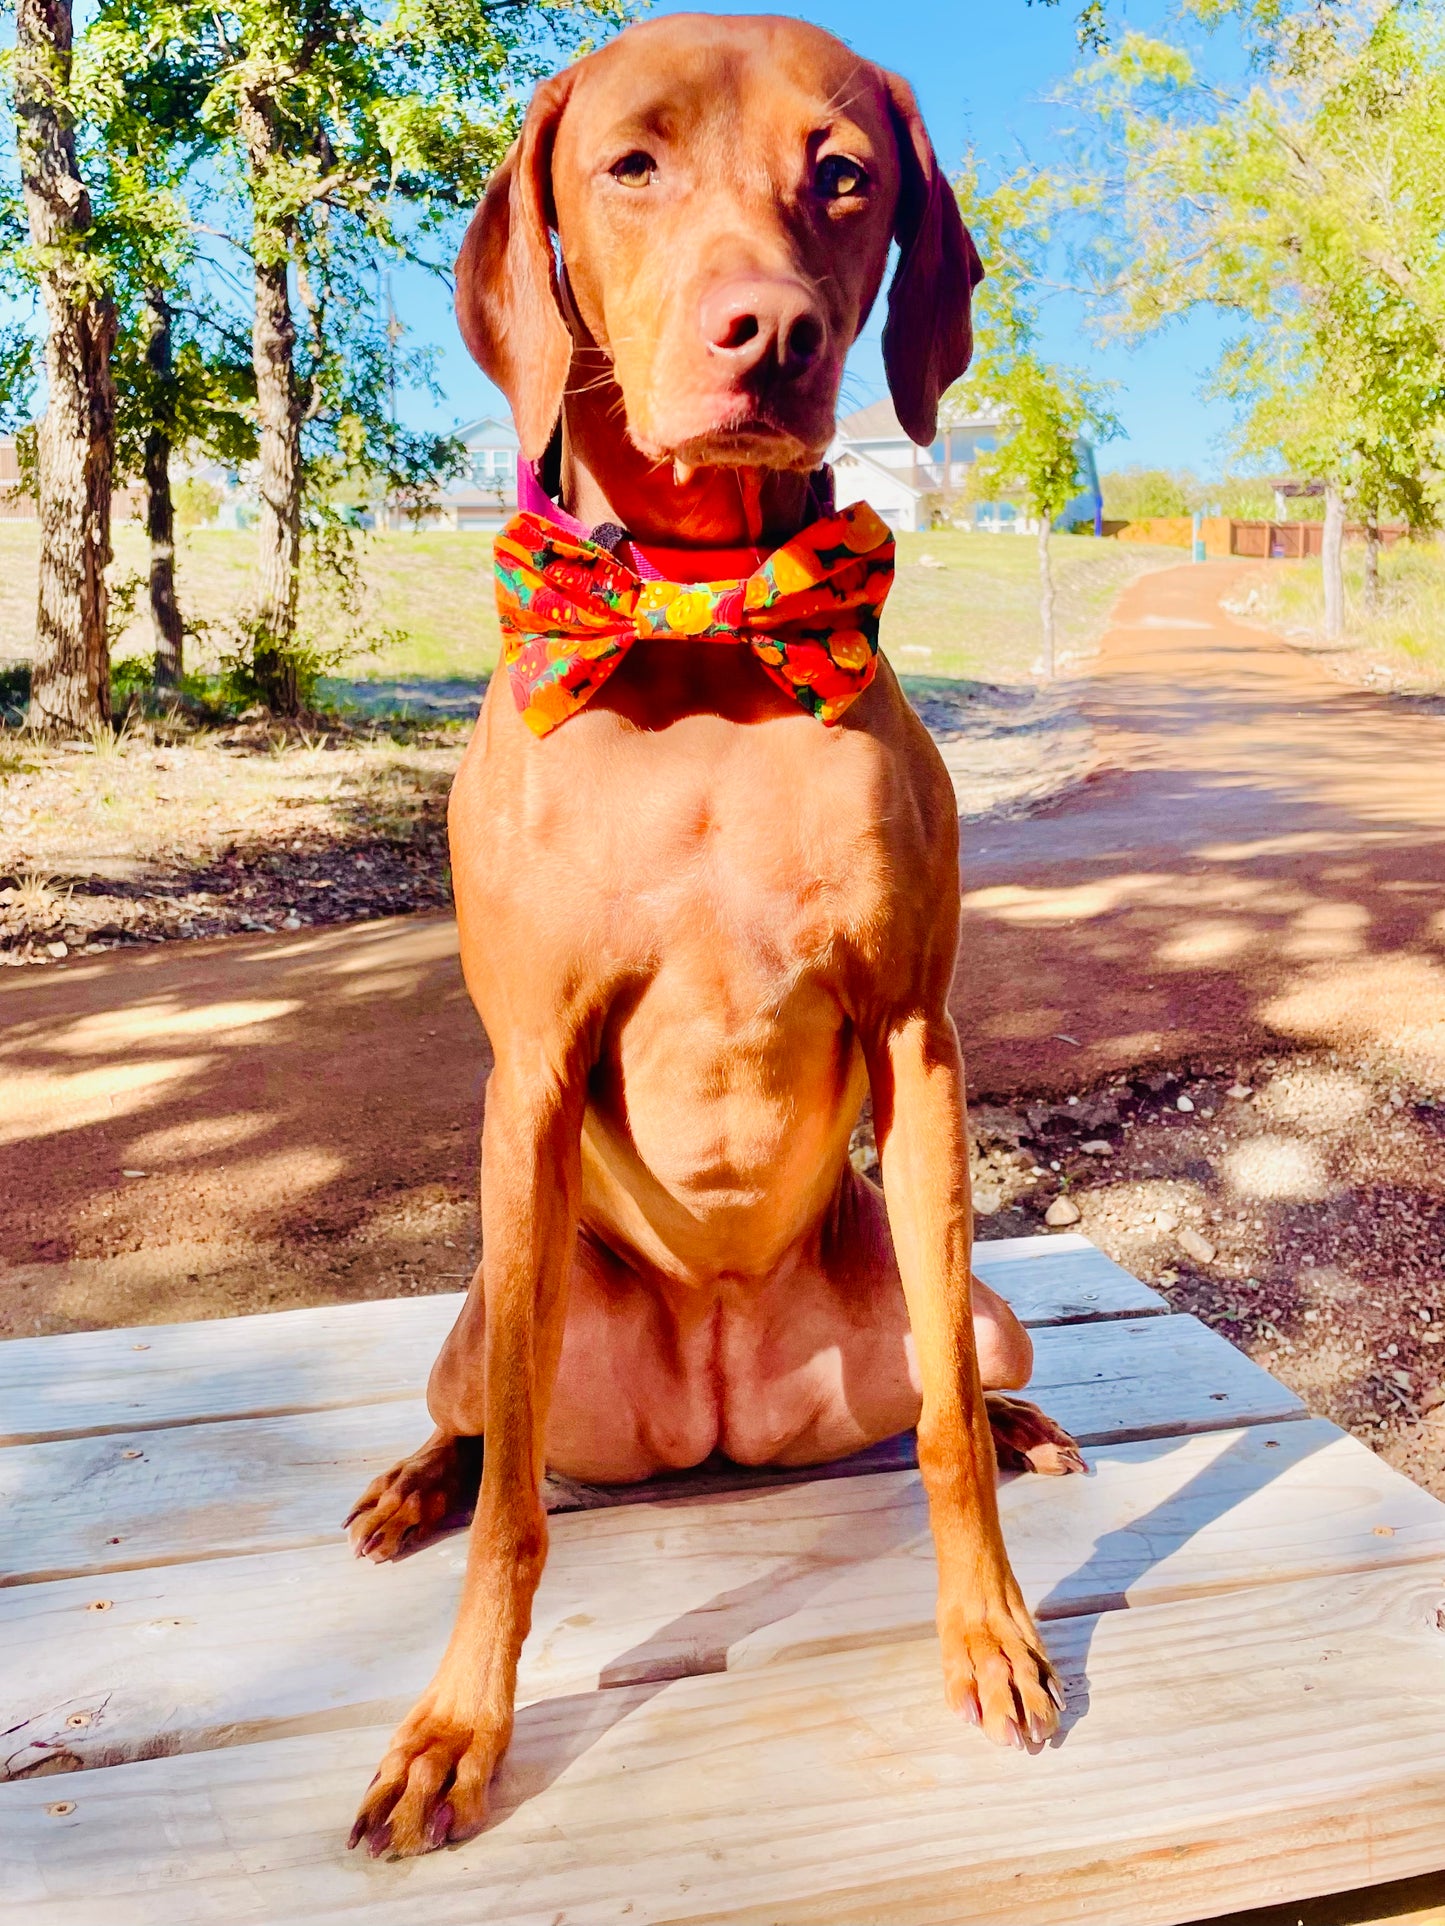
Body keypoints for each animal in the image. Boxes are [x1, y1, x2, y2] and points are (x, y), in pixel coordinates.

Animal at [344, 7, 1078, 1856]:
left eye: (845, 175)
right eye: (633, 164)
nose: (775, 333)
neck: (700, 625)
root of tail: (726, 1424)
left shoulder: (920, 1042)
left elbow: (944, 1444)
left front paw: (993, 1630)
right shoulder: (530, 1072)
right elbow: (517, 1512)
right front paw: (457, 1725)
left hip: (969, 1296)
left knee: (962, 1379)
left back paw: (1030, 1417)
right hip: (488, 1308)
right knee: (490, 1436)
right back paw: (412, 1480)